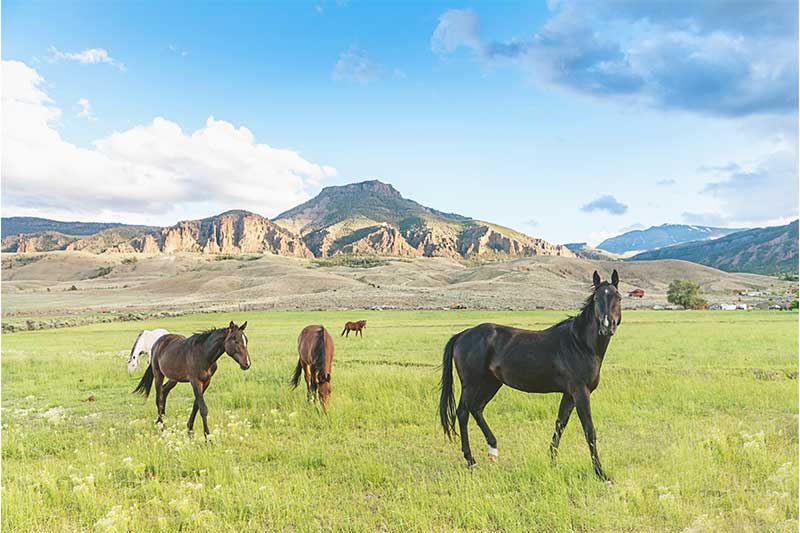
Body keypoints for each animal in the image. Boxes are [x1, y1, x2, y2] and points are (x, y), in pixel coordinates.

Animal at [440, 268, 620, 480]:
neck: (579, 344)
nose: (607, 326)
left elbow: (560, 424)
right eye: (596, 298)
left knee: (477, 409)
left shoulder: (569, 395)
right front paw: (601, 474)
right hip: (471, 384)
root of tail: (462, 335)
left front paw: (552, 462)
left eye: (618, 297)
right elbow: (589, 431)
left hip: (491, 383)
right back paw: (471, 460)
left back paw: (493, 450)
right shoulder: (580, 393)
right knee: (463, 412)